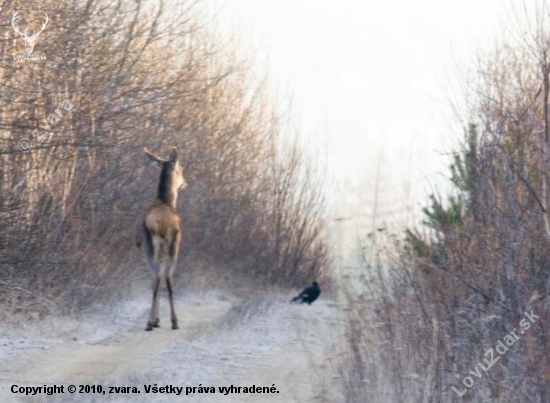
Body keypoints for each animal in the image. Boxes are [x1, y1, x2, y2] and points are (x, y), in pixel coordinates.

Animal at [137, 148, 189, 332]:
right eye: (181, 169)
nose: (185, 182)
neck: (166, 201)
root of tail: (161, 224)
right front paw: (157, 319)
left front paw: (156, 319)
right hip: (170, 243)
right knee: (166, 276)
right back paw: (169, 321)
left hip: (154, 244)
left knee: (159, 276)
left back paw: (155, 321)